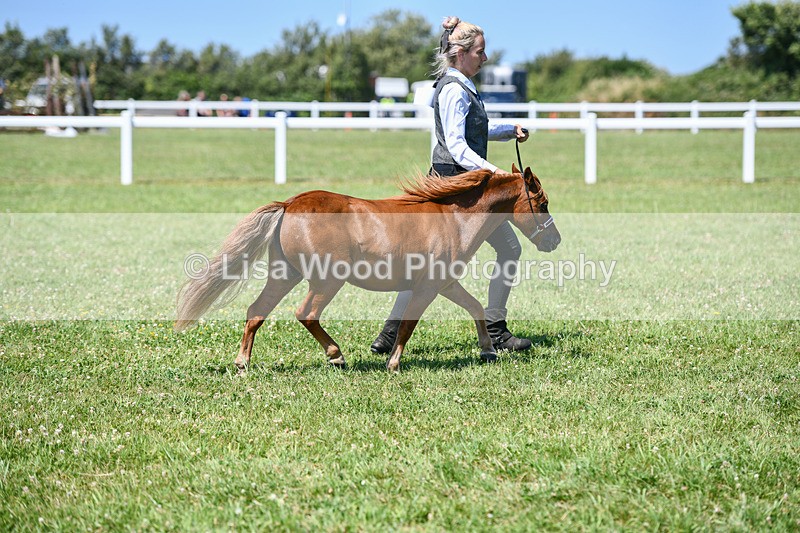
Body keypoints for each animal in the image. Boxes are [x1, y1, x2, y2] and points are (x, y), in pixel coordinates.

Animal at [175, 165, 561, 372]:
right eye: (541, 203)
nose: (554, 240)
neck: (453, 219)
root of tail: (289, 203)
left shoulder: (445, 284)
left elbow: (476, 307)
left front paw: (487, 349)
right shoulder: (426, 288)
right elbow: (407, 325)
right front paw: (393, 363)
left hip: (285, 274)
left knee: (256, 311)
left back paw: (243, 363)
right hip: (326, 280)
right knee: (305, 313)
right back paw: (336, 356)